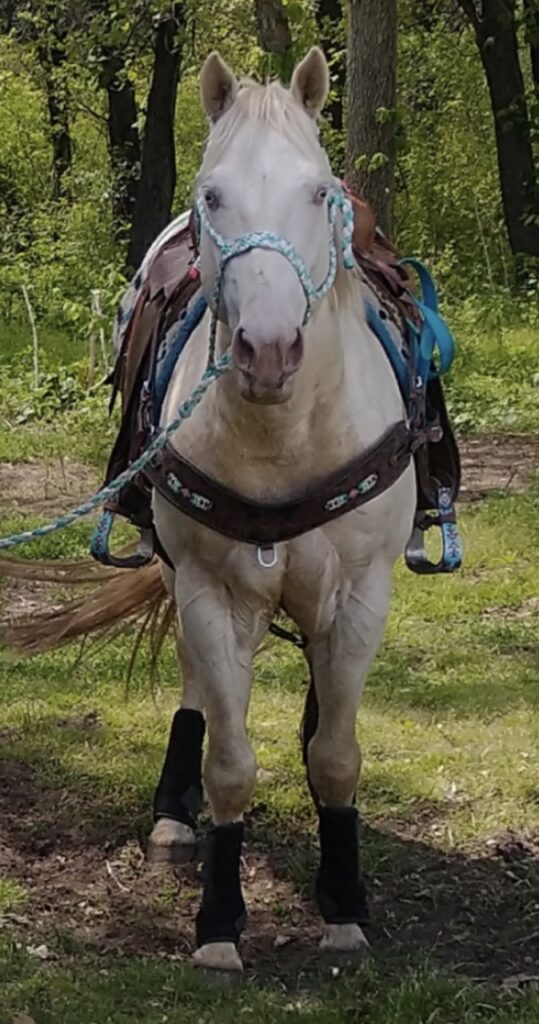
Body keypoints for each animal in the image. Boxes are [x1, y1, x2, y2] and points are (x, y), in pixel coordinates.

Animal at [3, 47, 419, 972]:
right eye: (211, 195)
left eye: (319, 190)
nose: (267, 351)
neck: (283, 431)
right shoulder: (207, 589)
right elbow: (230, 762)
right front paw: (220, 922)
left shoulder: (362, 595)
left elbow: (337, 756)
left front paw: (343, 903)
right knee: (199, 687)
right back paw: (171, 815)